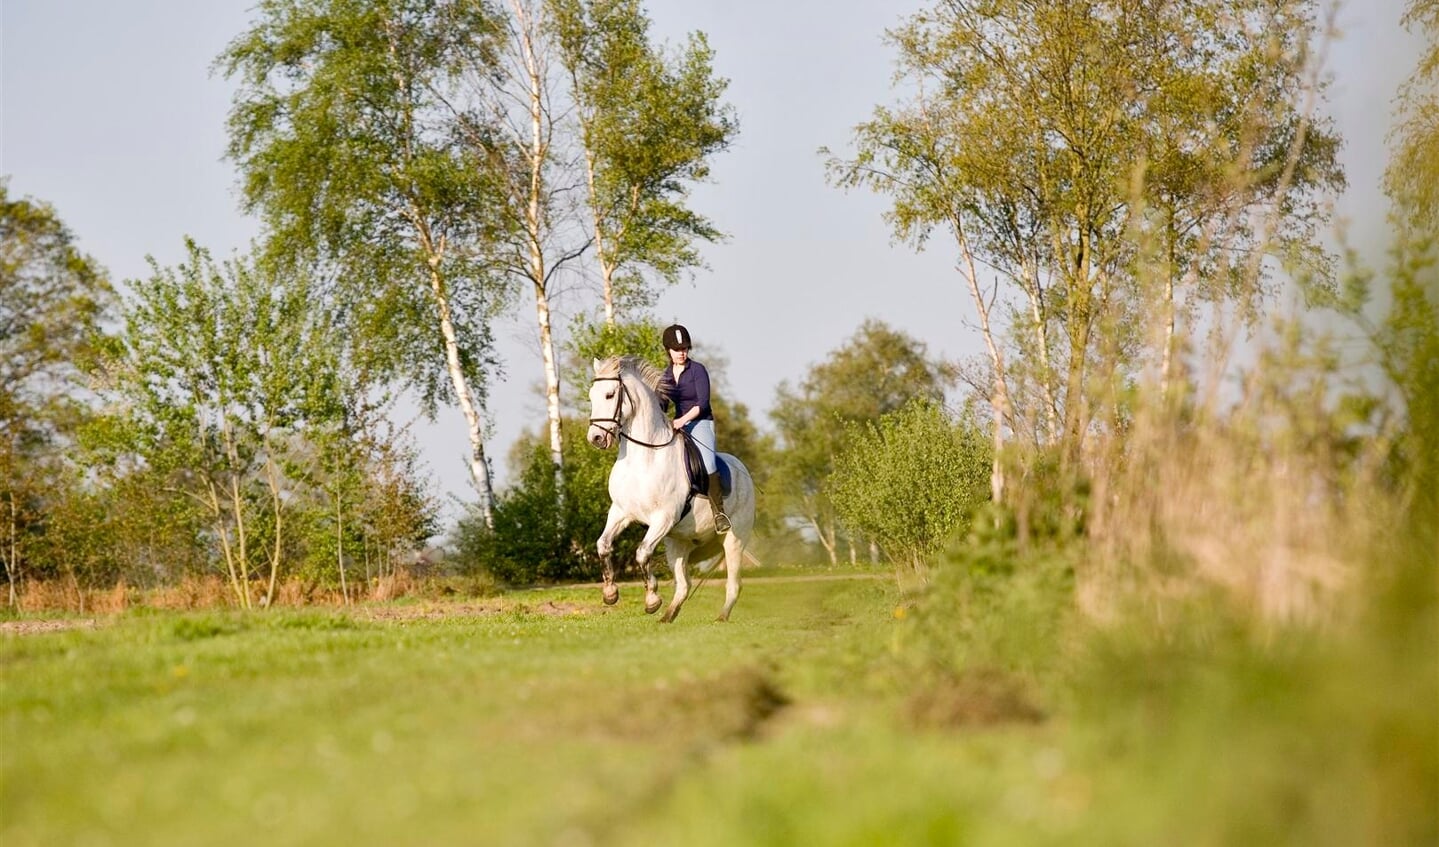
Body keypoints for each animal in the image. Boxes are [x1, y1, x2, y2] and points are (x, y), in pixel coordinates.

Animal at [589, 355, 759, 621]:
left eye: (609, 395)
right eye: (591, 396)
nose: (595, 438)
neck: (643, 457)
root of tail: (742, 470)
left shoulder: (663, 517)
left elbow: (641, 553)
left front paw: (651, 600)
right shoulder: (620, 512)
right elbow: (603, 546)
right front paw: (610, 594)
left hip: (734, 538)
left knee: (733, 583)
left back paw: (721, 617)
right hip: (678, 543)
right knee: (684, 585)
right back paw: (667, 617)